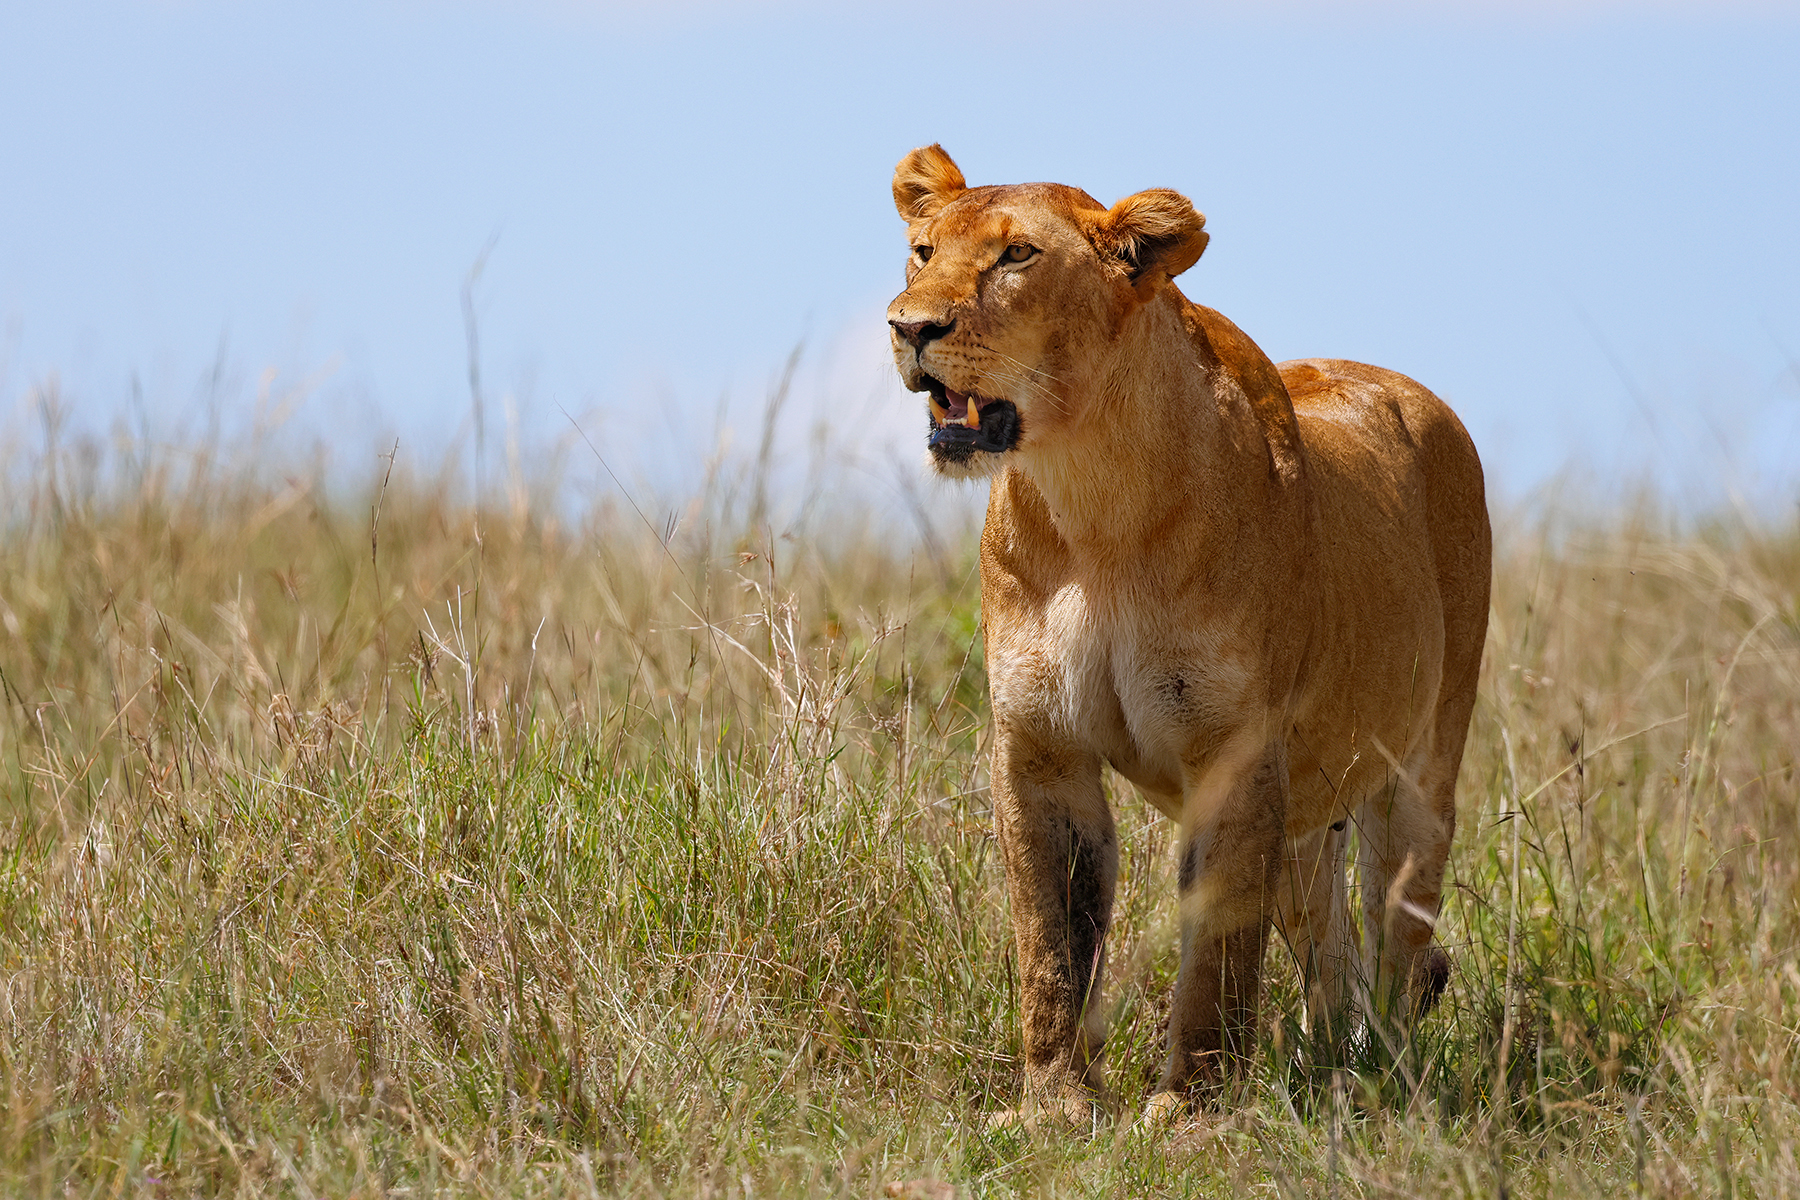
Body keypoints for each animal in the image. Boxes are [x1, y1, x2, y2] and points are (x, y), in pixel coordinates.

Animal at [885, 145, 1491, 1124]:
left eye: (1016, 255)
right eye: (921, 250)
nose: (908, 327)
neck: (1091, 499)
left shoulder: (1232, 750)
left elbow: (1214, 947)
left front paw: (1193, 1112)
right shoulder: (1039, 748)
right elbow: (1051, 945)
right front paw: (1055, 1102)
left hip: (1422, 767)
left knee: (1397, 937)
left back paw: (1382, 1082)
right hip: (1305, 807)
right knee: (1325, 940)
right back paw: (1329, 1066)